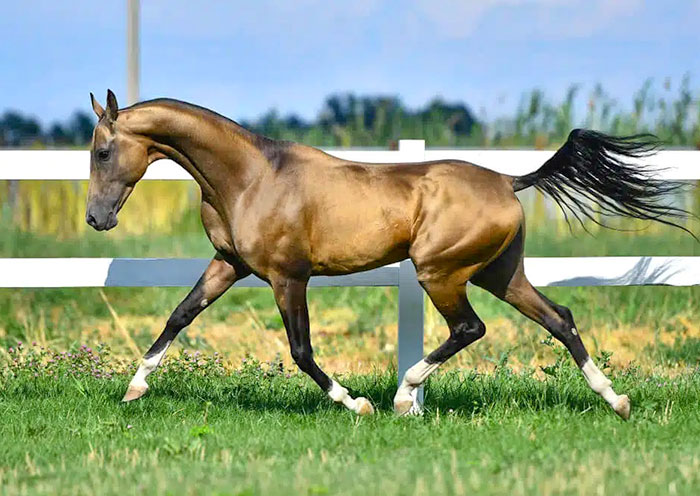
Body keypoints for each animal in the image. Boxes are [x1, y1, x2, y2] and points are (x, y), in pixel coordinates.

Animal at [86, 89, 691, 419]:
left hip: (441, 272)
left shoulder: (288, 277)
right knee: (559, 319)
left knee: (470, 328)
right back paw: (616, 401)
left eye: (102, 151)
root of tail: (508, 180)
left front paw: (357, 403)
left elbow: (301, 350)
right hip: (501, 274)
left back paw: (404, 396)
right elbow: (180, 314)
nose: (96, 219)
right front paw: (134, 388)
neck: (252, 177)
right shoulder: (229, 265)